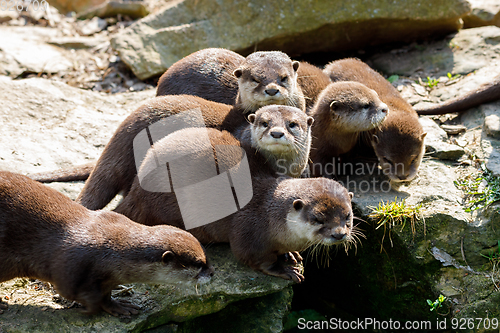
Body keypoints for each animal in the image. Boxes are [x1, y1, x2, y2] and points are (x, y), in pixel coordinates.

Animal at [0, 171, 213, 314]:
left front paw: (117, 304)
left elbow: (105, 292)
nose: (212, 273)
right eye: (198, 264)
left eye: (206, 258)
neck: (112, 250)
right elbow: (72, 291)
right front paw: (96, 307)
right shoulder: (69, 266)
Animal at [113, 128, 356, 282]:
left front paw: (291, 254)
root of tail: (135, 190)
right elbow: (252, 257)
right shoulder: (249, 231)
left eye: (348, 217)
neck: (269, 215)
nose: (339, 234)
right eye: (318, 219)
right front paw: (285, 269)